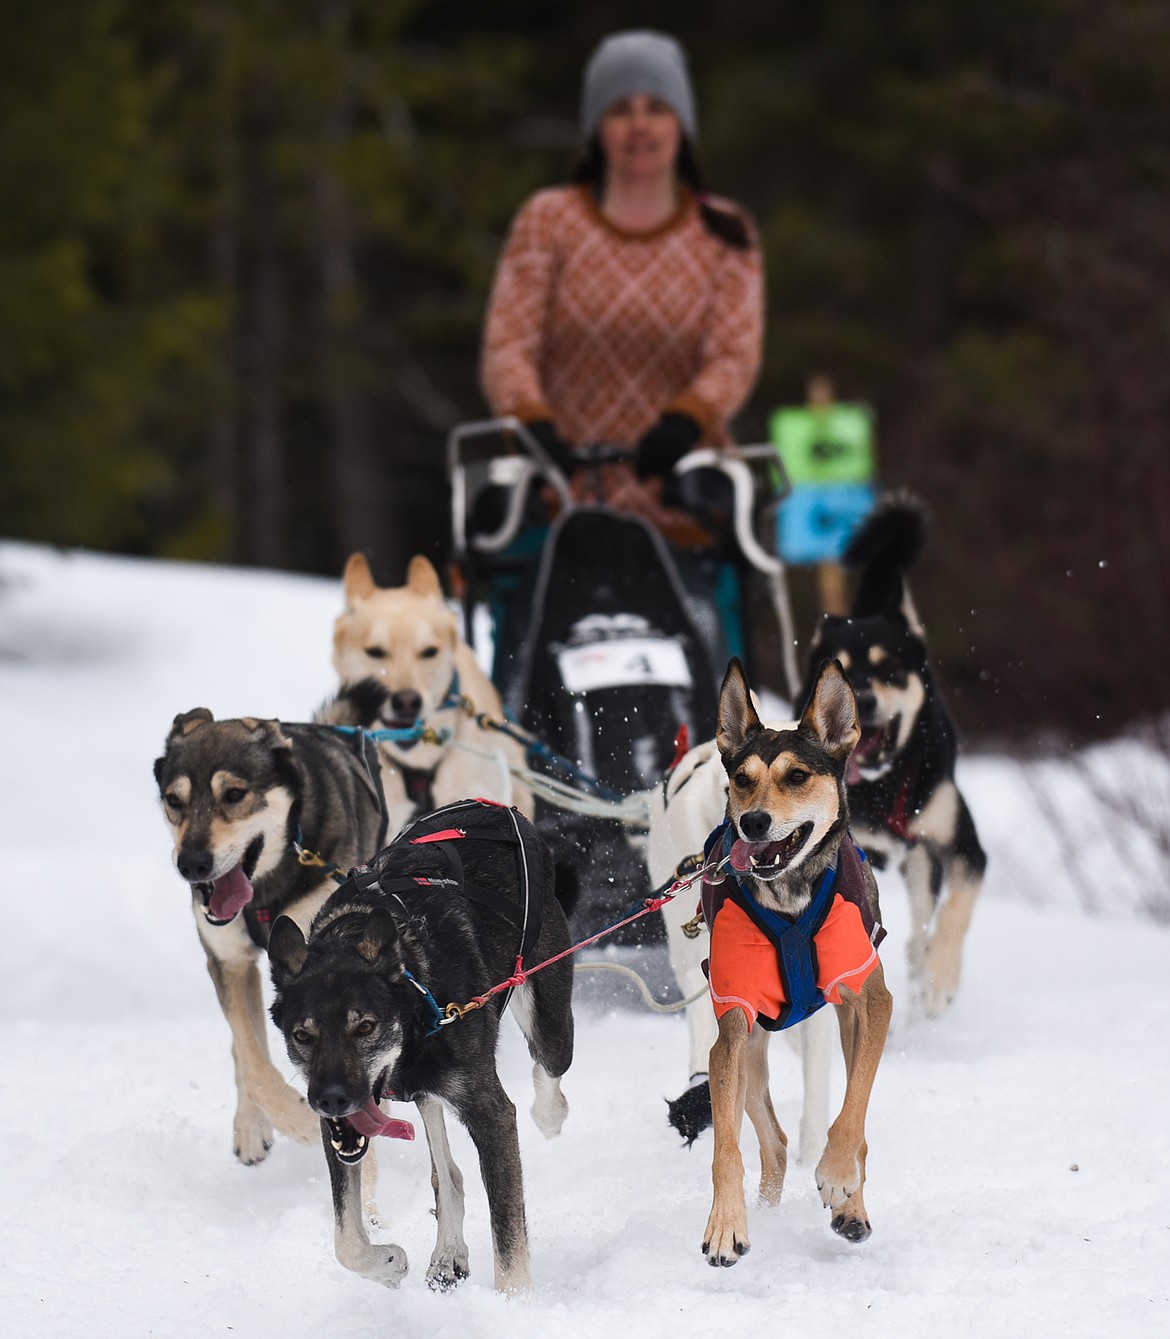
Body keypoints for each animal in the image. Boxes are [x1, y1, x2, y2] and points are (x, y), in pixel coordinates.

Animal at [151, 712, 382, 1162]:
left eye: (234, 794)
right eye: (174, 800)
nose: (192, 864)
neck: (264, 891)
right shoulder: (229, 961)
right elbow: (250, 1056)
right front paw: (287, 1120)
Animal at [265, 798, 575, 1290]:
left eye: (365, 1027)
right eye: (302, 1035)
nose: (332, 1098)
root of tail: (498, 807)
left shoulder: (490, 1113)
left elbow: (508, 1236)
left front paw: (514, 1301)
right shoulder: (338, 1130)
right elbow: (346, 1240)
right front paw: (387, 1262)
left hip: (547, 1018)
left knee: (549, 1067)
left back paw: (549, 1114)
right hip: (427, 1089)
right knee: (447, 1173)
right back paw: (448, 1253)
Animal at [696, 658, 888, 1264]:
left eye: (798, 776)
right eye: (741, 778)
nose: (753, 821)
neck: (791, 897)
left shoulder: (871, 1001)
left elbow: (853, 1112)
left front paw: (837, 1176)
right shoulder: (731, 1027)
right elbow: (726, 1149)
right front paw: (725, 1224)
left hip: (847, 1023)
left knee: (855, 1119)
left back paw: (852, 1203)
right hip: (751, 1049)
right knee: (774, 1143)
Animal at [803, 492, 985, 1012]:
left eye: (890, 670)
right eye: (840, 669)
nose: (863, 699)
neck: (883, 788)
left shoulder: (962, 847)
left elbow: (955, 912)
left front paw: (941, 978)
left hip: (922, 856)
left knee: (925, 918)